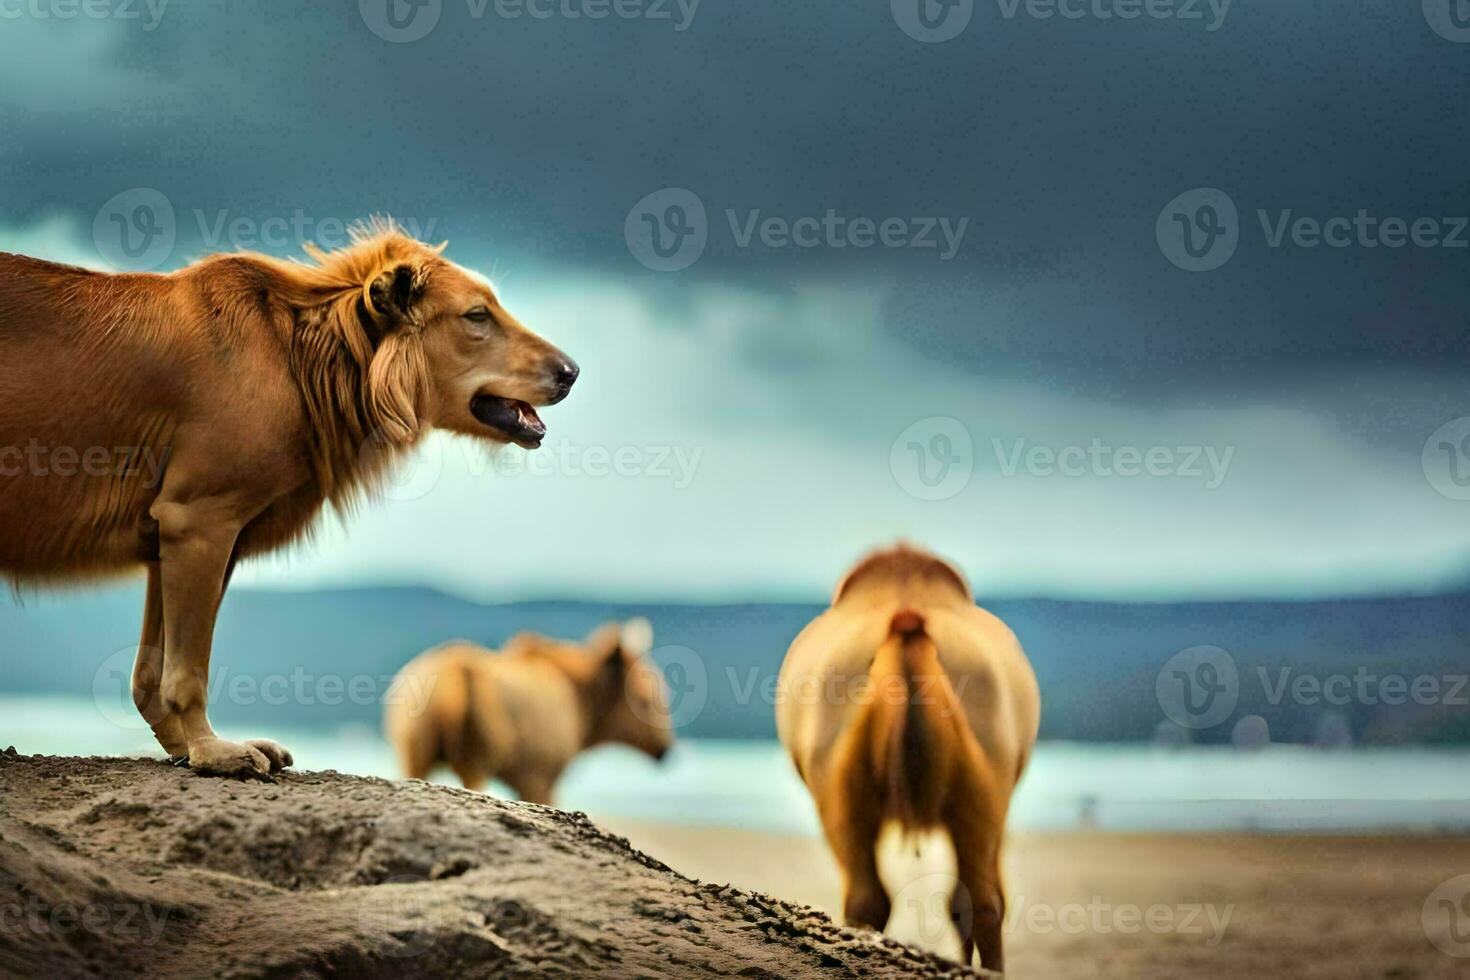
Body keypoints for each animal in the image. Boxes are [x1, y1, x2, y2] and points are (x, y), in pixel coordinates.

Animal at [0, 221, 579, 781]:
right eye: (477, 315)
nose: (571, 372)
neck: (303, 361)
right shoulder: (200, 519)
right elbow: (188, 670)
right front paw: (214, 753)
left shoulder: (175, 532)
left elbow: (150, 674)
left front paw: (186, 749)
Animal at [385, 620, 673, 805]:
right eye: (646, 701)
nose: (665, 749)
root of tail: (446, 695)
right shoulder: (541, 771)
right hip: (478, 742)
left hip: (414, 734)